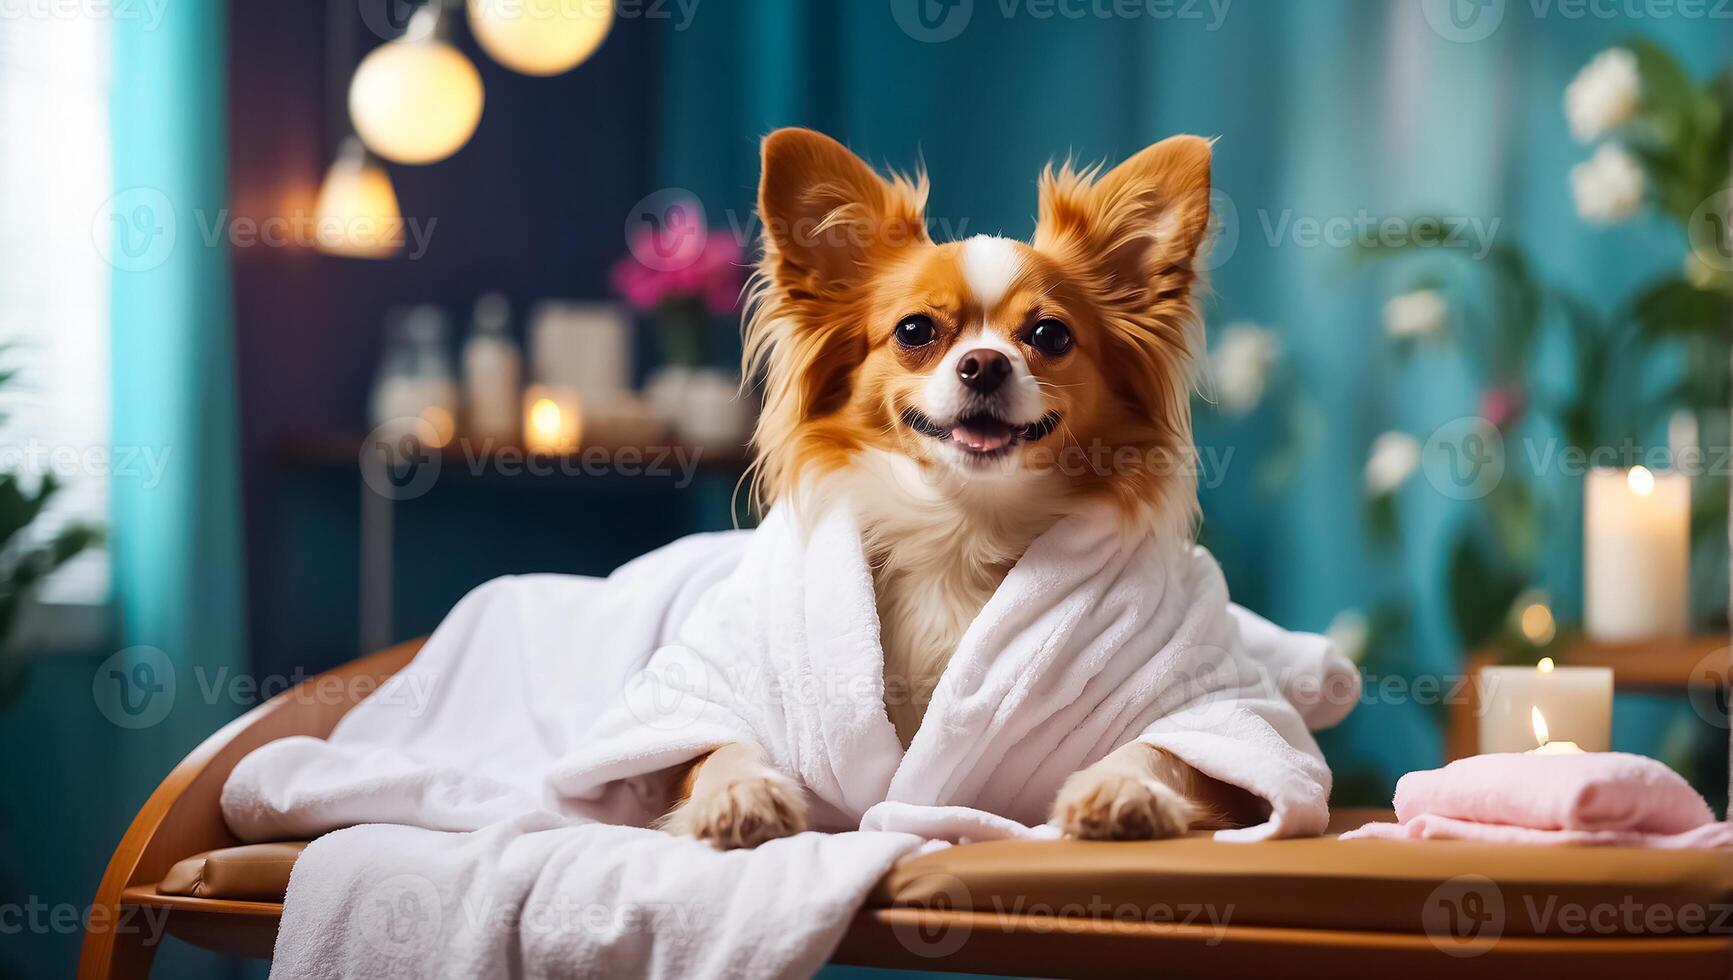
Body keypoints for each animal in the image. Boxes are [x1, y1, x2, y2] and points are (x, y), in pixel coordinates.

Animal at [658, 128, 1247, 849]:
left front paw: (1122, 789)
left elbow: (1166, 751)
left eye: (1050, 334)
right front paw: (742, 793)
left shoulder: (1218, 716)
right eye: (914, 330)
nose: (985, 363)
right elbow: (718, 748)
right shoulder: (700, 702)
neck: (962, 529)